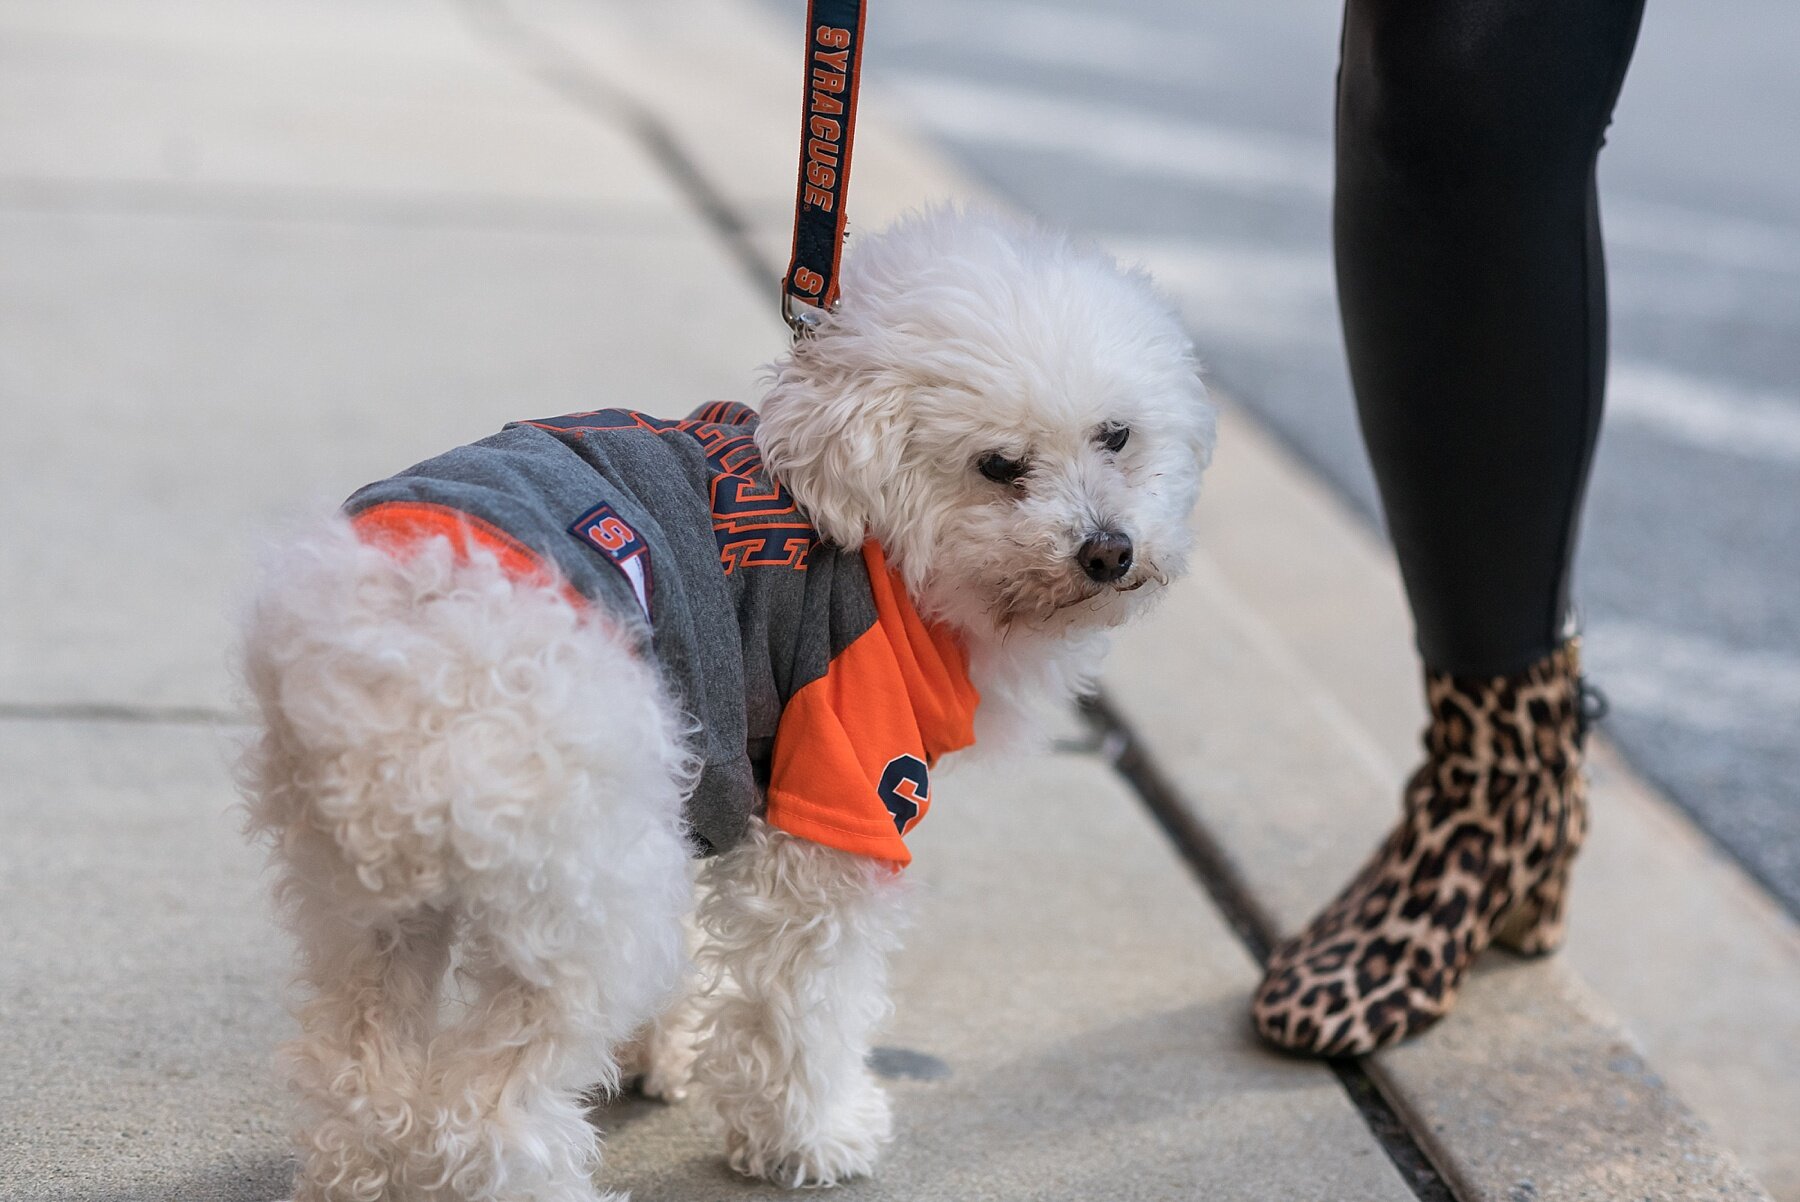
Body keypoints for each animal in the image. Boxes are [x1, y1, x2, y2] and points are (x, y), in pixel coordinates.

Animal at [239, 206, 1216, 1202]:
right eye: (998, 465)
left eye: (1116, 436)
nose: (1108, 550)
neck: (878, 542)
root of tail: (398, 648)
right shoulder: (841, 795)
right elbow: (805, 1005)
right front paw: (811, 1136)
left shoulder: (702, 778)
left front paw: (663, 1054)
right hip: (591, 895)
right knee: (488, 1111)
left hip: (364, 894)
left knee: (357, 1065)